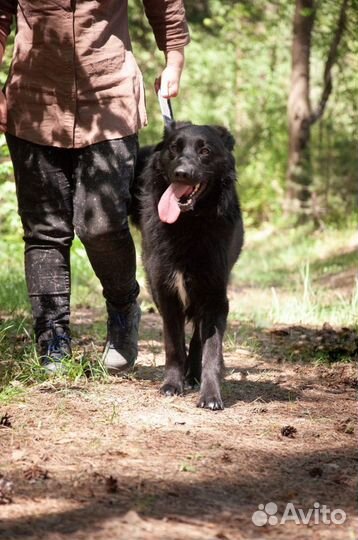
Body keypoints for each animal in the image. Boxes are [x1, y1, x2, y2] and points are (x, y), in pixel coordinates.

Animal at [131, 122, 243, 410]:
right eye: (174, 148)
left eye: (205, 151)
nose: (182, 173)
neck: (188, 224)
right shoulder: (167, 294)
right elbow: (173, 345)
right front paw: (172, 383)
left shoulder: (215, 299)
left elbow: (211, 350)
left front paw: (211, 395)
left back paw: (194, 373)